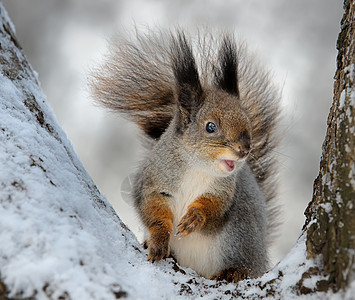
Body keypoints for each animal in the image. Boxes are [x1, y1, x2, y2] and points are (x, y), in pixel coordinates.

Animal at [91, 29, 280, 282]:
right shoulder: (154, 181)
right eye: (210, 127)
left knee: (244, 262)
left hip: (240, 236)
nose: (244, 149)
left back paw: (234, 271)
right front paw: (159, 239)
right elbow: (154, 210)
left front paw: (194, 218)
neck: (197, 167)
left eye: (247, 120)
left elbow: (213, 208)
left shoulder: (223, 191)